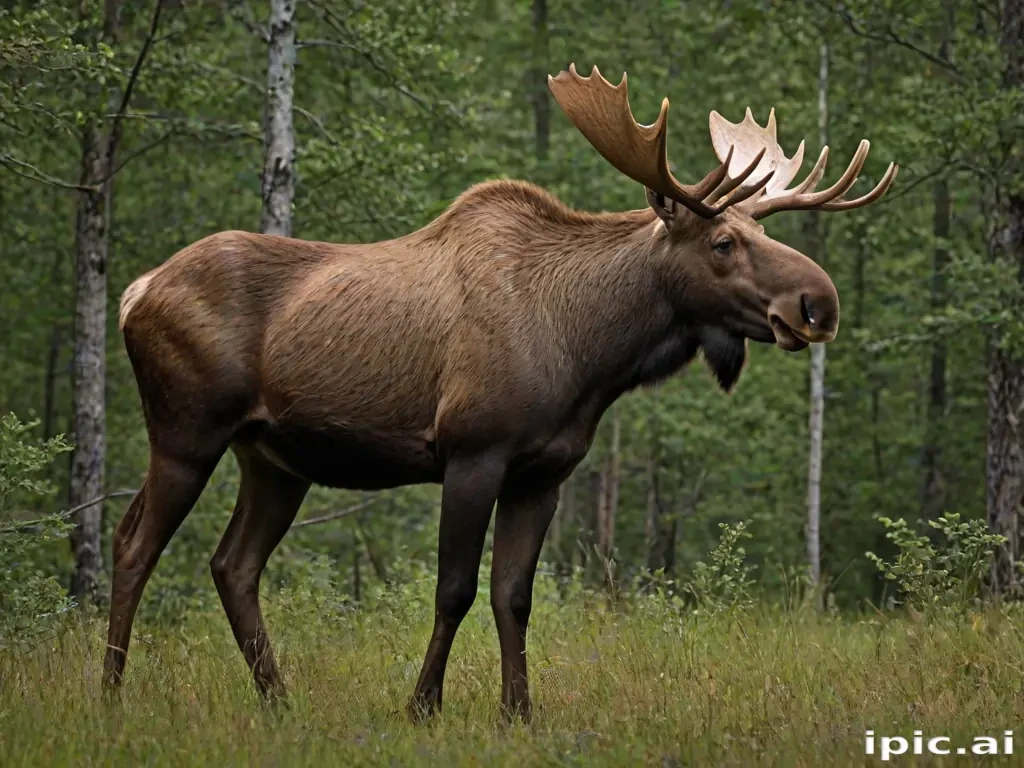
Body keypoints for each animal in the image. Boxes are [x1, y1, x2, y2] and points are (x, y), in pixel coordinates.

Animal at [104, 64, 896, 722]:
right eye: (722, 243)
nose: (817, 303)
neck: (589, 354)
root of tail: (133, 292)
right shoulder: (472, 451)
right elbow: (454, 588)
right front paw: (423, 706)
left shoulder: (542, 472)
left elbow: (514, 595)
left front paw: (519, 711)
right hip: (187, 433)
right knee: (134, 544)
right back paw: (110, 692)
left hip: (274, 459)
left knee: (233, 565)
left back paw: (278, 699)